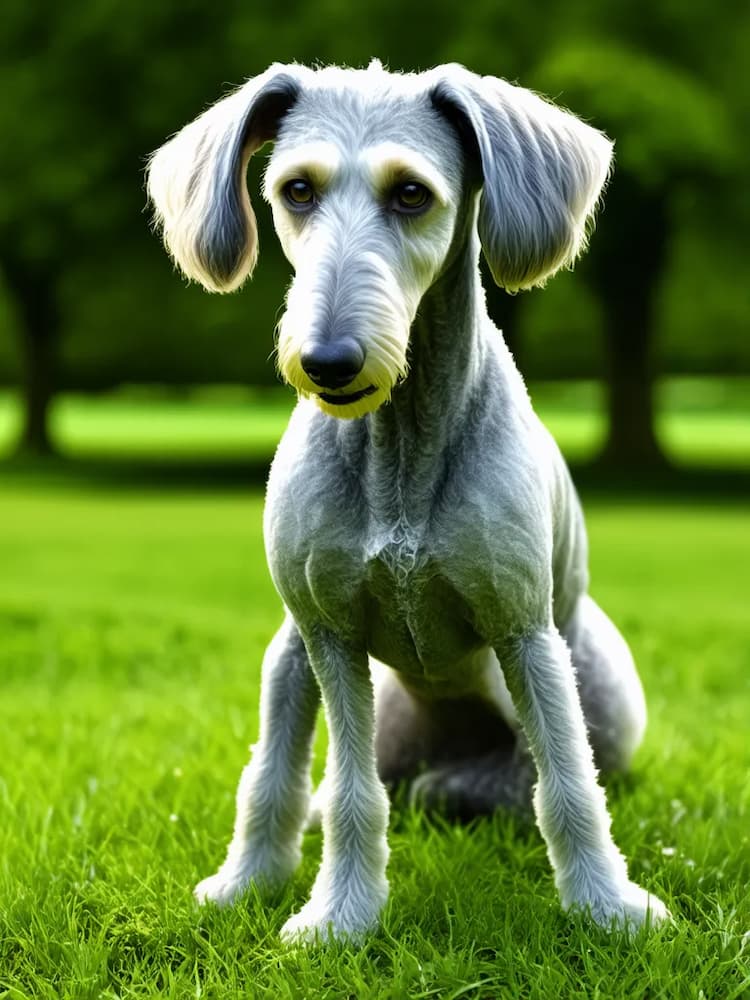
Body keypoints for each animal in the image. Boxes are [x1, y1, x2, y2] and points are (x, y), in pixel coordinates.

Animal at [147, 60, 668, 936]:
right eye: (295, 190)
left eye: (412, 195)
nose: (327, 361)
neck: (400, 451)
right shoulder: (328, 636)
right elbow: (349, 792)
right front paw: (341, 920)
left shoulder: (525, 631)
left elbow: (567, 784)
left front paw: (607, 908)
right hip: (300, 660)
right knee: (289, 777)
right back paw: (249, 878)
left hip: (596, 684)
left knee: (523, 778)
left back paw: (465, 790)